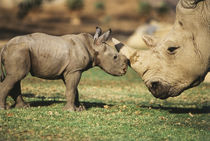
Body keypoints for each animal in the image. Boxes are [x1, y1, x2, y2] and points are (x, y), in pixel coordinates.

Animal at [0, 27, 128, 111]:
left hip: (19, 51)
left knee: (16, 77)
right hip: (18, 50)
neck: (92, 46)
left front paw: (80, 108)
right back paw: (4, 108)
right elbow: (71, 89)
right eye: (115, 57)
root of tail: (4, 46)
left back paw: (24, 107)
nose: (125, 70)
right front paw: (71, 110)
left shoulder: (71, 70)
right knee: (17, 76)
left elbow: (74, 89)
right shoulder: (75, 70)